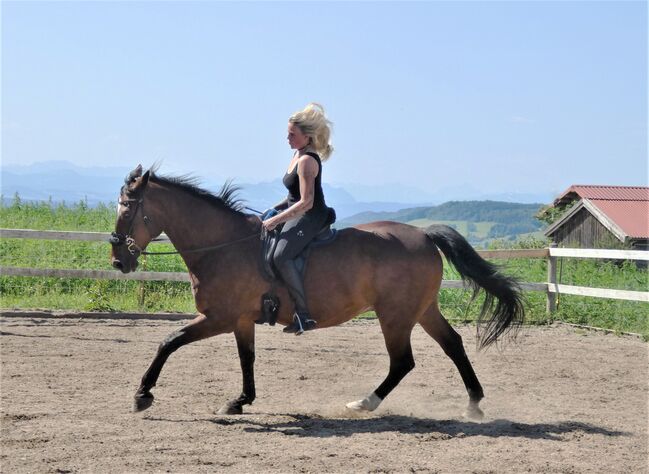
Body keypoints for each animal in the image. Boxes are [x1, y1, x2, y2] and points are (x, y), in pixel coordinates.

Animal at [109, 166, 520, 418]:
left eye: (127, 210)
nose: (117, 261)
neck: (223, 246)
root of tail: (423, 234)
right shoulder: (241, 320)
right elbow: (247, 359)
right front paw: (241, 401)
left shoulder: (219, 317)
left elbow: (169, 341)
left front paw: (142, 396)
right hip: (421, 310)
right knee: (453, 344)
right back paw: (473, 405)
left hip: (396, 316)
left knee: (403, 361)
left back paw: (365, 402)